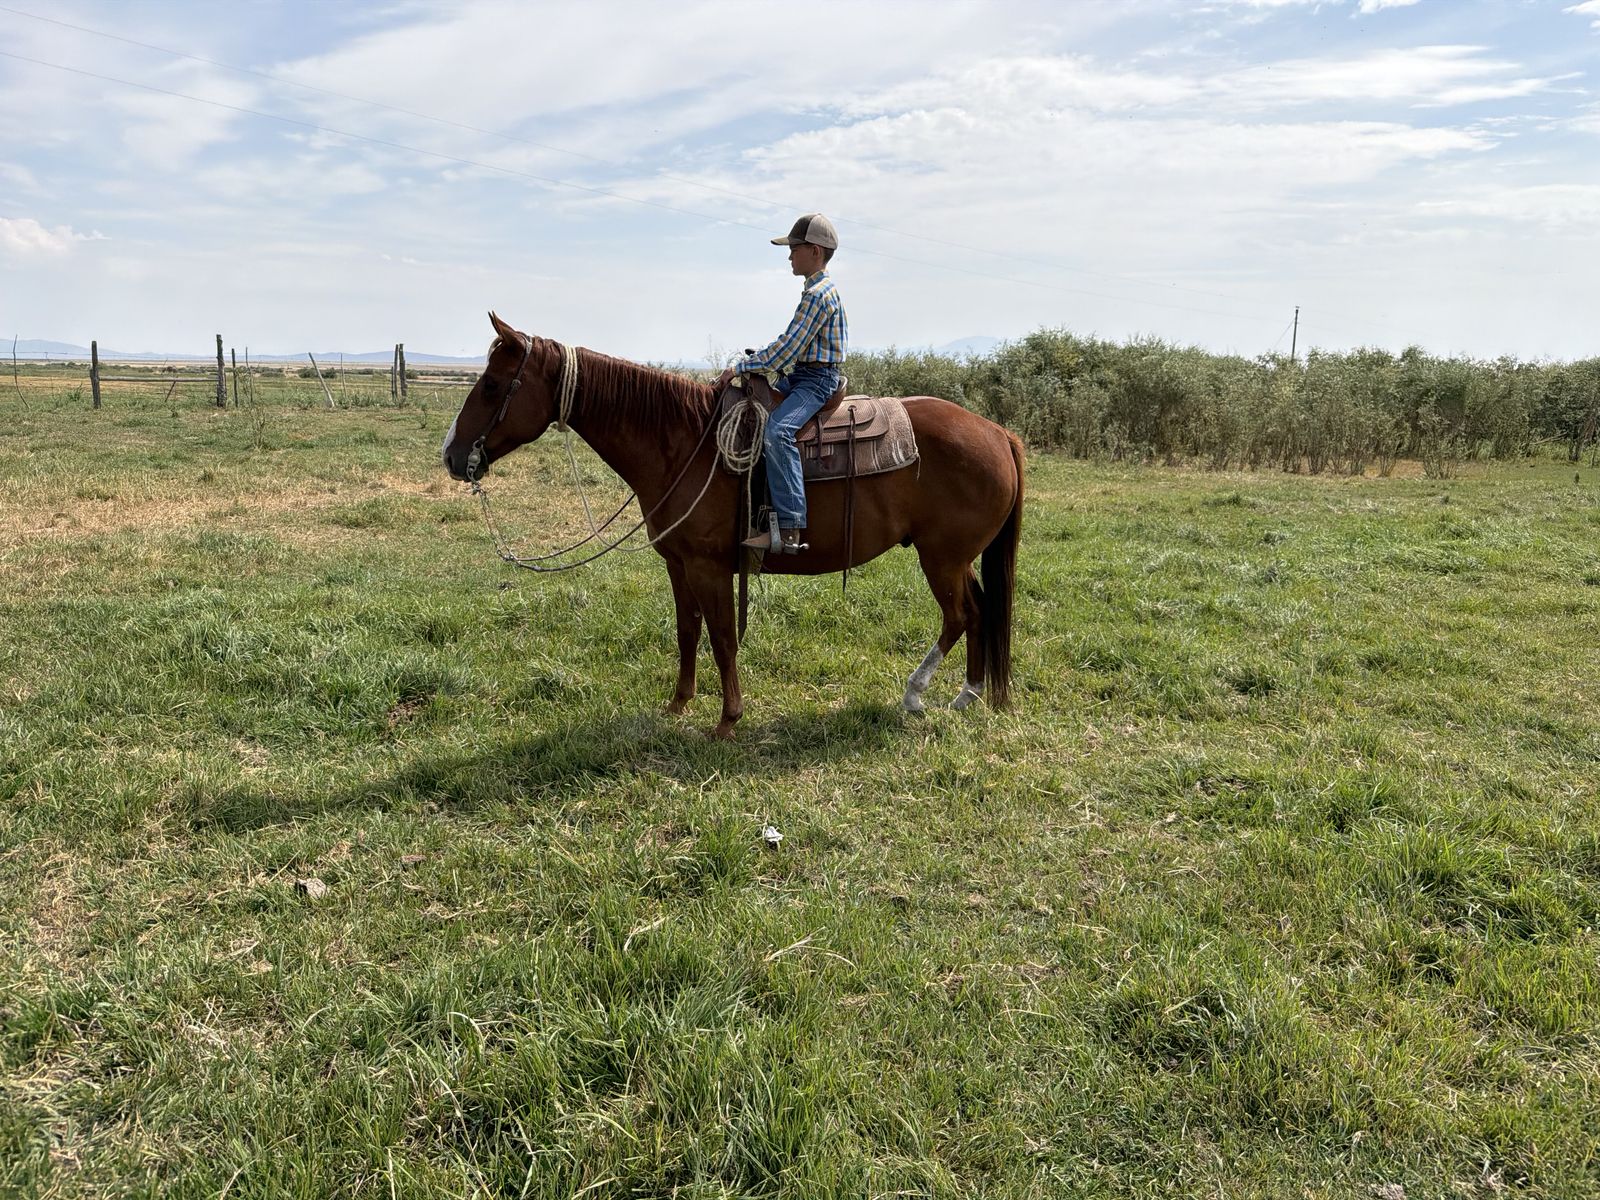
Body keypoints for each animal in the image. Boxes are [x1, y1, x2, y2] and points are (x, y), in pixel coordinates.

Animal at [442, 312, 1024, 739]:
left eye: (492, 386)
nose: (451, 455)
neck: (682, 443)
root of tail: (998, 433)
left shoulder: (709, 565)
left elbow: (722, 636)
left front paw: (727, 720)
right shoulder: (679, 564)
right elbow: (687, 631)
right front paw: (678, 704)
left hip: (941, 557)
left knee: (961, 614)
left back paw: (916, 694)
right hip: (957, 558)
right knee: (979, 609)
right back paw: (968, 694)